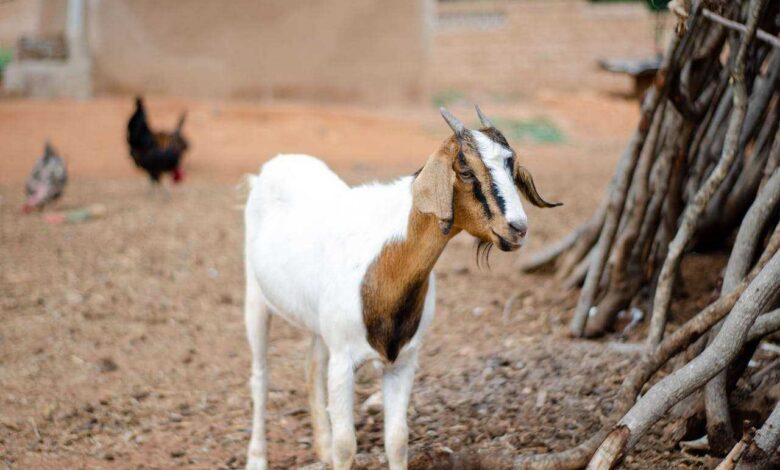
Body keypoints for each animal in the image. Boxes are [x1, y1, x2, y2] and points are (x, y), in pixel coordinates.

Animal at [244, 107, 560, 470]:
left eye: (511, 164)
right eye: (466, 169)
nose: (517, 228)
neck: (383, 261)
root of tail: (275, 165)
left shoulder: (404, 361)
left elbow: (397, 440)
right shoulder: (344, 360)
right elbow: (346, 445)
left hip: (317, 322)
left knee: (312, 364)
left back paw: (320, 447)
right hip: (255, 297)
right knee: (260, 378)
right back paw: (257, 458)